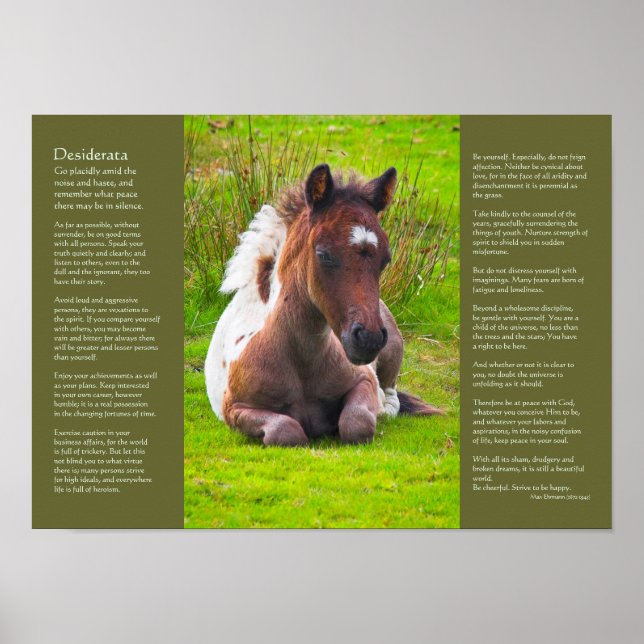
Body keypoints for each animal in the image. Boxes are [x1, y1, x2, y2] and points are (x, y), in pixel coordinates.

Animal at [205, 164, 441, 446]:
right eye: (323, 255)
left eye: (385, 259)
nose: (369, 338)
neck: (301, 362)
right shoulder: (235, 408)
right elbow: (286, 431)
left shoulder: (364, 380)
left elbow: (357, 423)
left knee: (391, 396)